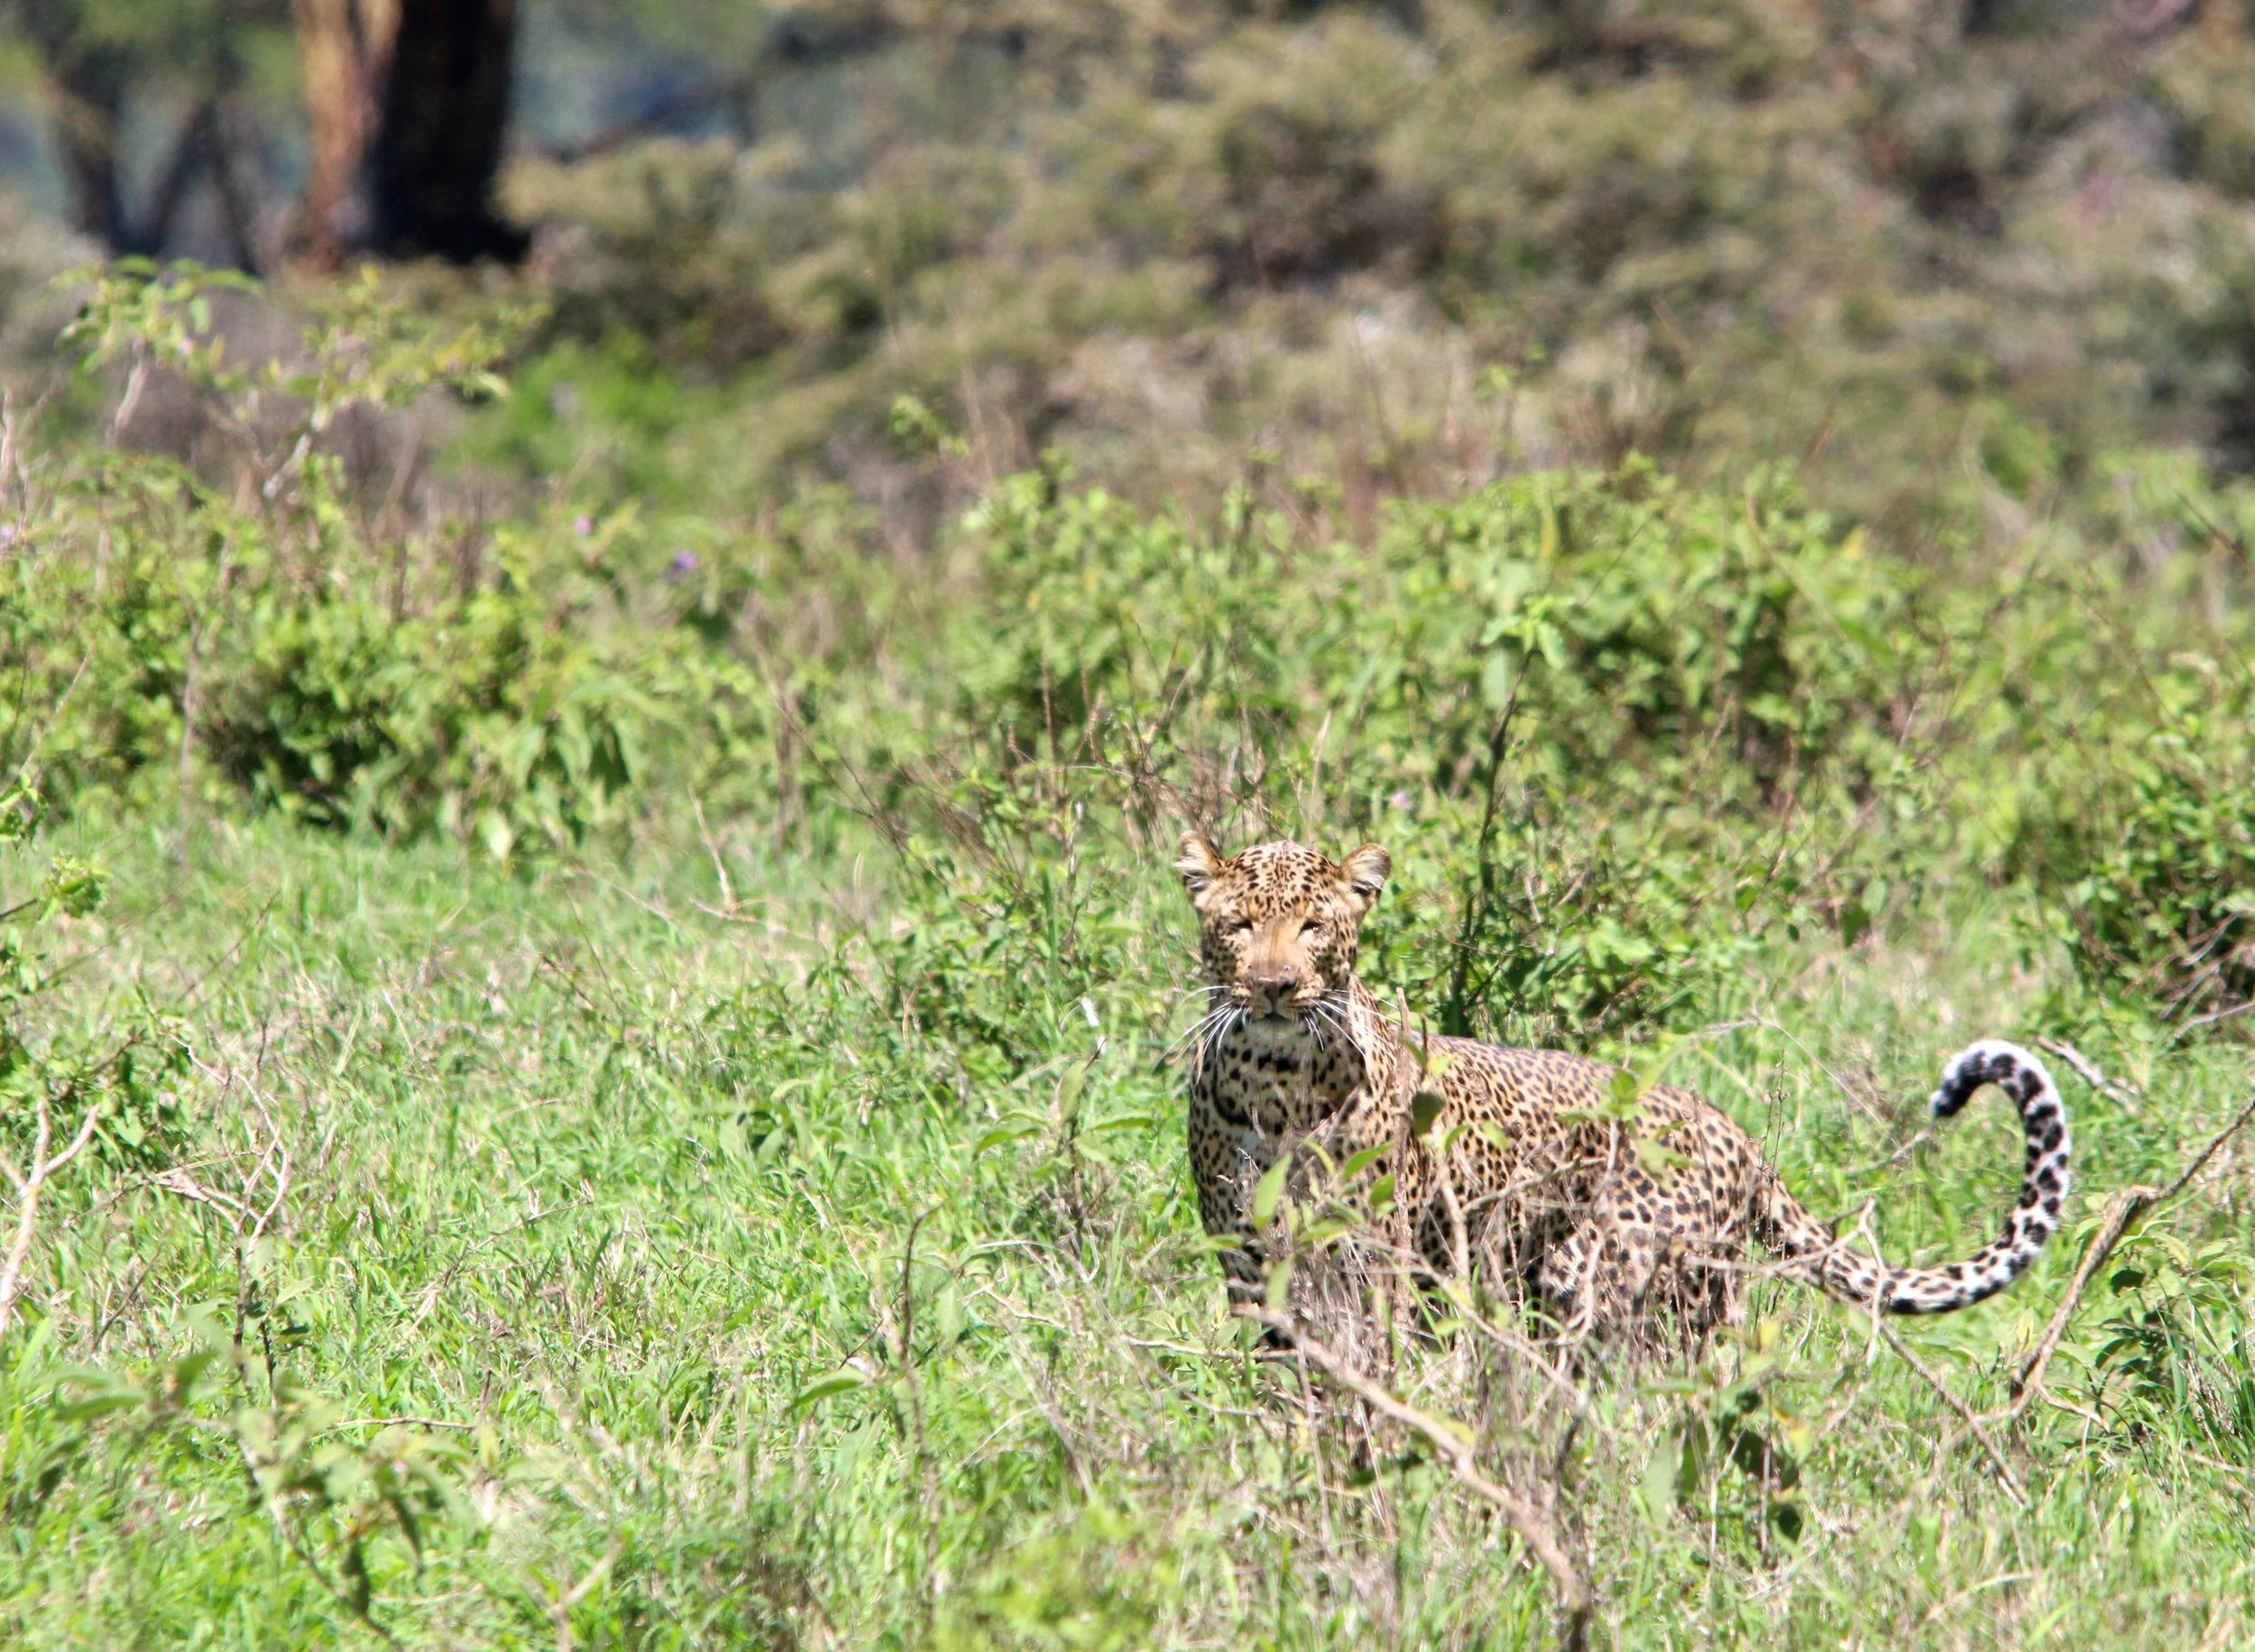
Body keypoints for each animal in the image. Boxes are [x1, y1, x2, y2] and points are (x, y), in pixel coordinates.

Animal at [1176, 832, 2072, 1342]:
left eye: (1313, 927)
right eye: (1239, 925)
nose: (1274, 988)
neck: (1276, 1081)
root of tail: (1733, 1130)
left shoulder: (1377, 1266)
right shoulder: (1249, 1264)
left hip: (1616, 1277)